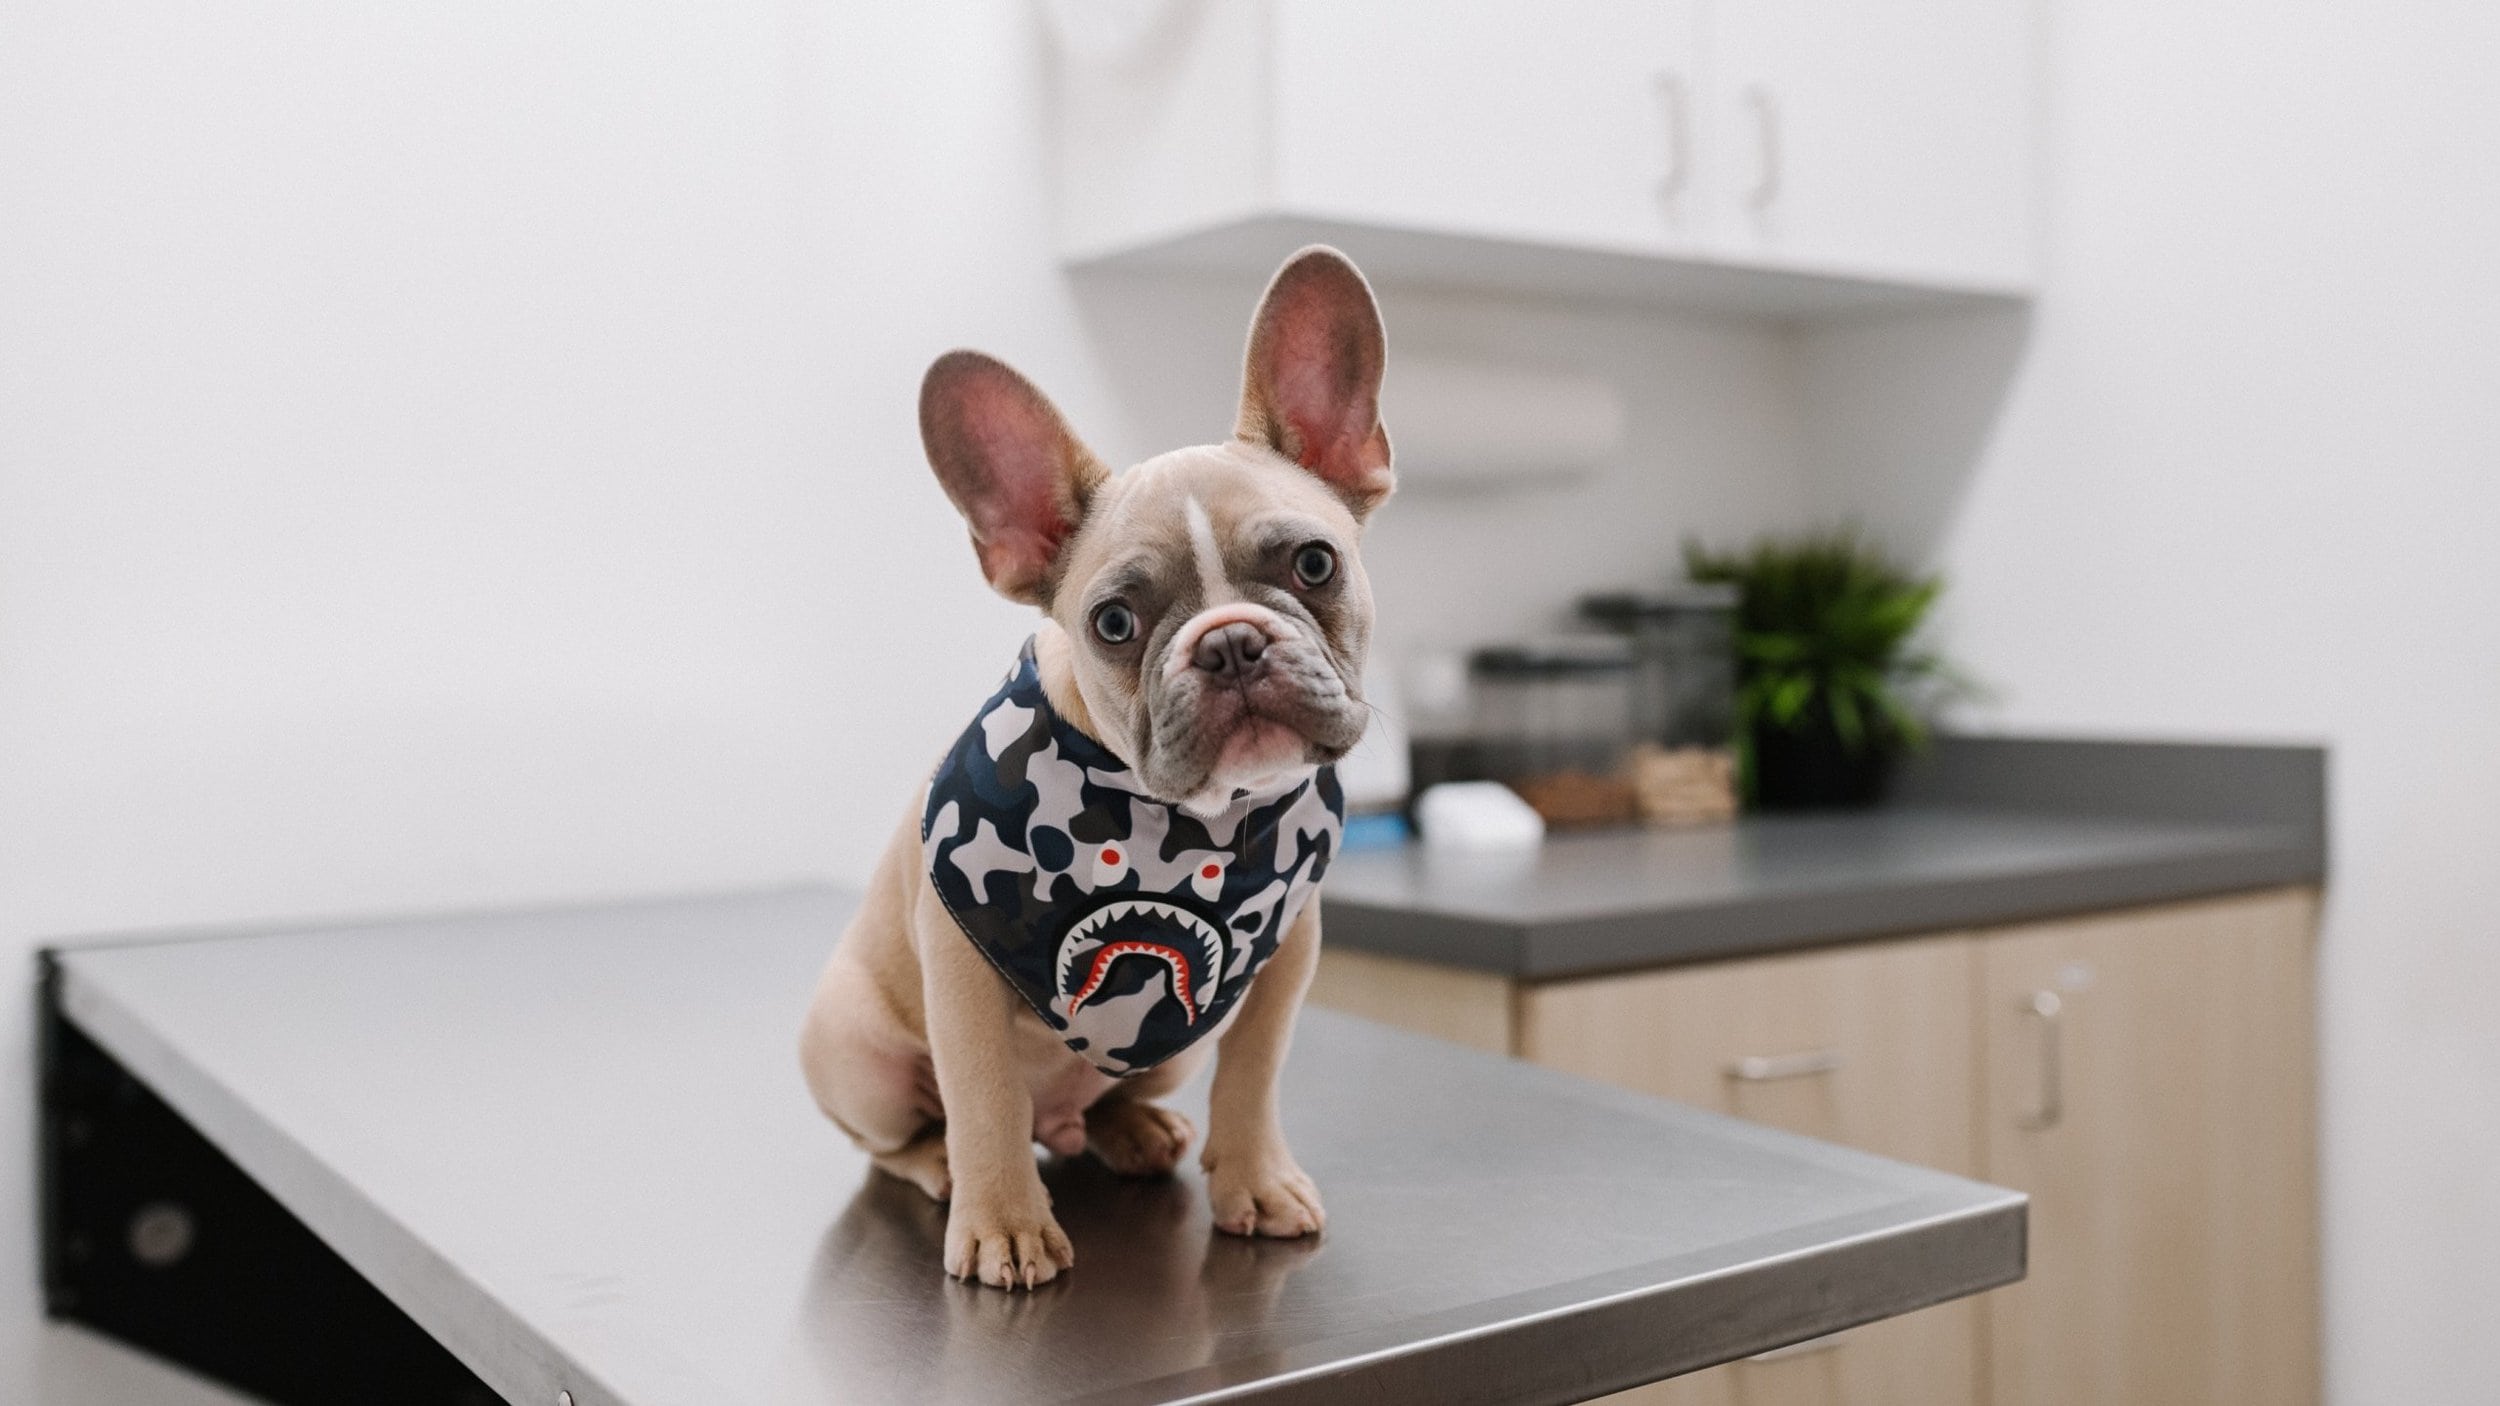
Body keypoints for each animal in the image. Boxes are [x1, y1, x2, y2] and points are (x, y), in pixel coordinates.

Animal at [795, 246, 1400, 1290]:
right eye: (1114, 623)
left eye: (1316, 564)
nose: (1231, 643)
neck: (1190, 828)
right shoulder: (961, 967)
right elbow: (984, 1097)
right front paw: (1004, 1226)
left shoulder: (1285, 961)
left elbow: (1255, 1075)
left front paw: (1255, 1180)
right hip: (854, 1049)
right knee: (902, 1136)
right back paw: (942, 1167)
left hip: (1168, 1050)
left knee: (1113, 1098)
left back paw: (1135, 1130)